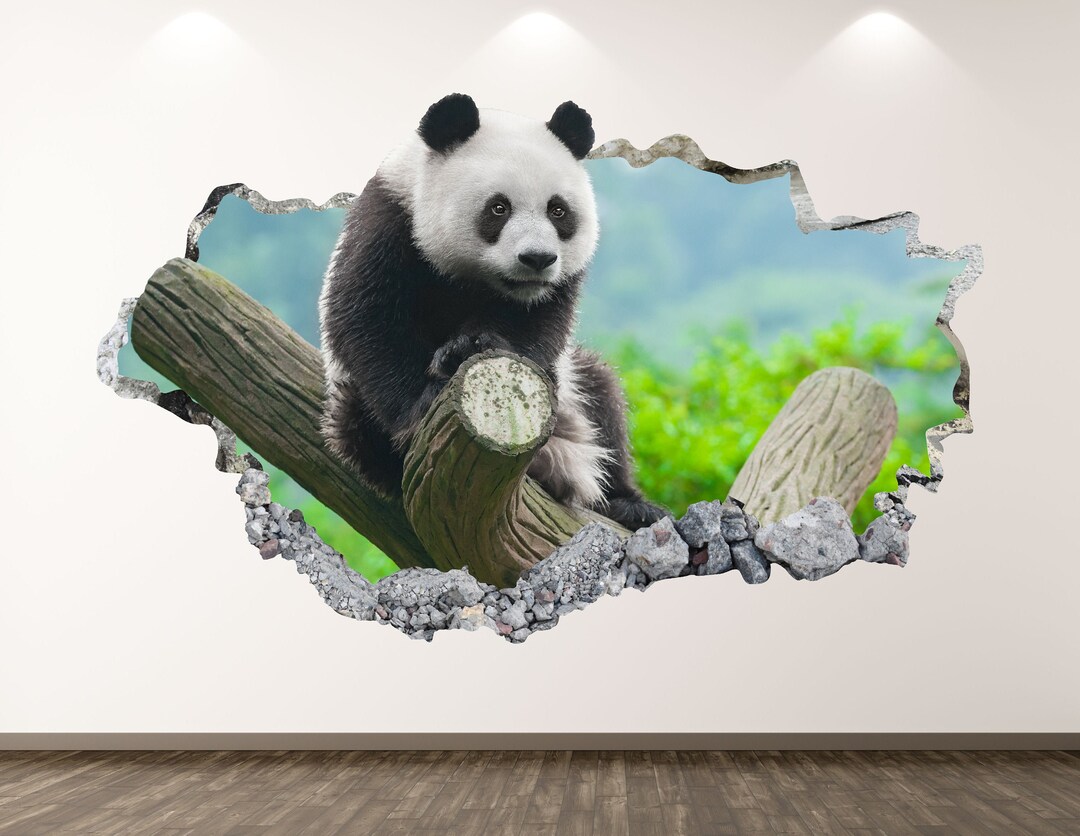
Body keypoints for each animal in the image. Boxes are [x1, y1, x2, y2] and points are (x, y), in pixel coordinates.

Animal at [318, 93, 667, 530]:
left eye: (558, 211)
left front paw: (470, 345)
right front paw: (425, 399)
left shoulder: (553, 289)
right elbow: (369, 321)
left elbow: (536, 325)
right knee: (355, 424)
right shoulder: (389, 222)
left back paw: (629, 504)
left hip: (576, 393)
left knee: (603, 398)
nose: (537, 259)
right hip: (349, 404)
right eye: (498, 208)